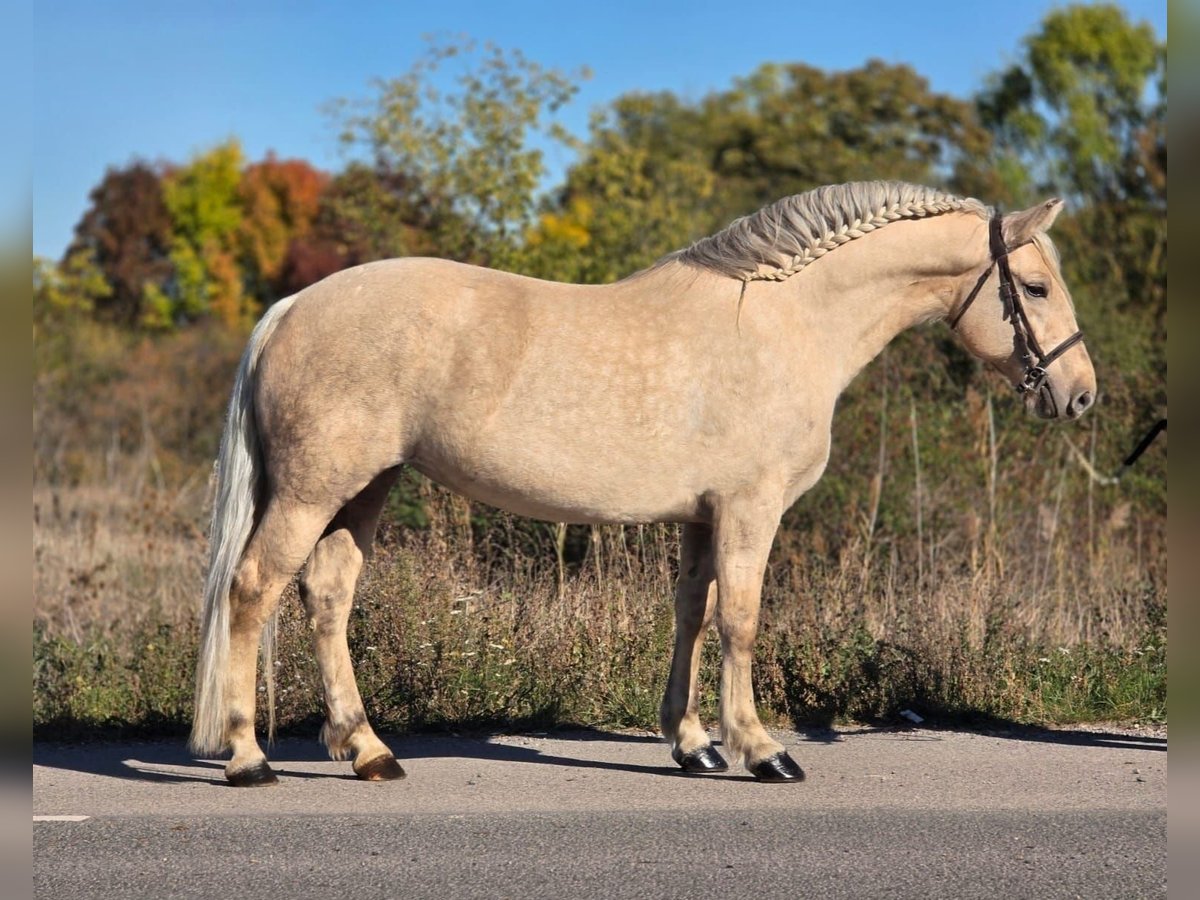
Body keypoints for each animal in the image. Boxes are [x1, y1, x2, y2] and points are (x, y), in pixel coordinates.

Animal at [189, 180, 1095, 786]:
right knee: (253, 588)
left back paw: (366, 748)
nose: (1080, 393)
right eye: (1036, 287)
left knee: (327, 595)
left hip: (364, 488)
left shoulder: (702, 516)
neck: (788, 322)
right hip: (313, 490)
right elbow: (740, 621)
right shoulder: (749, 510)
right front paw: (762, 749)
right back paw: (246, 756)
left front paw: (693, 743)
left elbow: (692, 613)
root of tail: (291, 308)